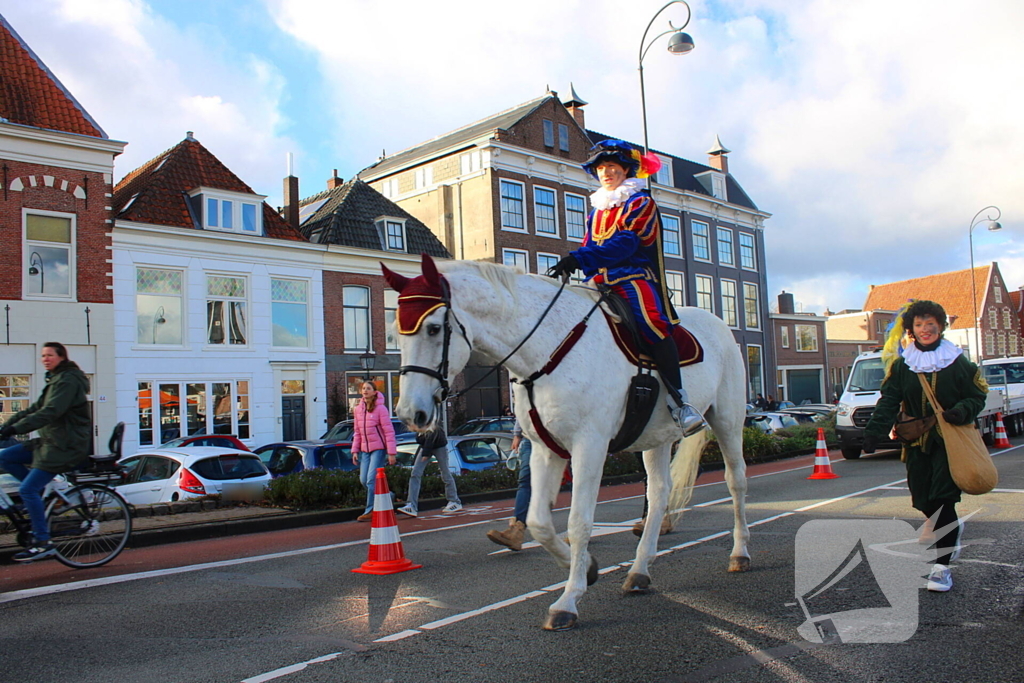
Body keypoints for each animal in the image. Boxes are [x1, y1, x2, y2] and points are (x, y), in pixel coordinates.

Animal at [382, 254, 745, 630]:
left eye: (433, 328)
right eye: (395, 331)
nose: (409, 412)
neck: (549, 347)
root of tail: (716, 322)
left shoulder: (590, 446)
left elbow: (578, 522)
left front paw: (568, 600)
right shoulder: (545, 449)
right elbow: (539, 522)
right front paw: (585, 567)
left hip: (728, 421)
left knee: (735, 481)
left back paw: (739, 553)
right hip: (655, 439)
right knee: (659, 494)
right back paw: (639, 571)